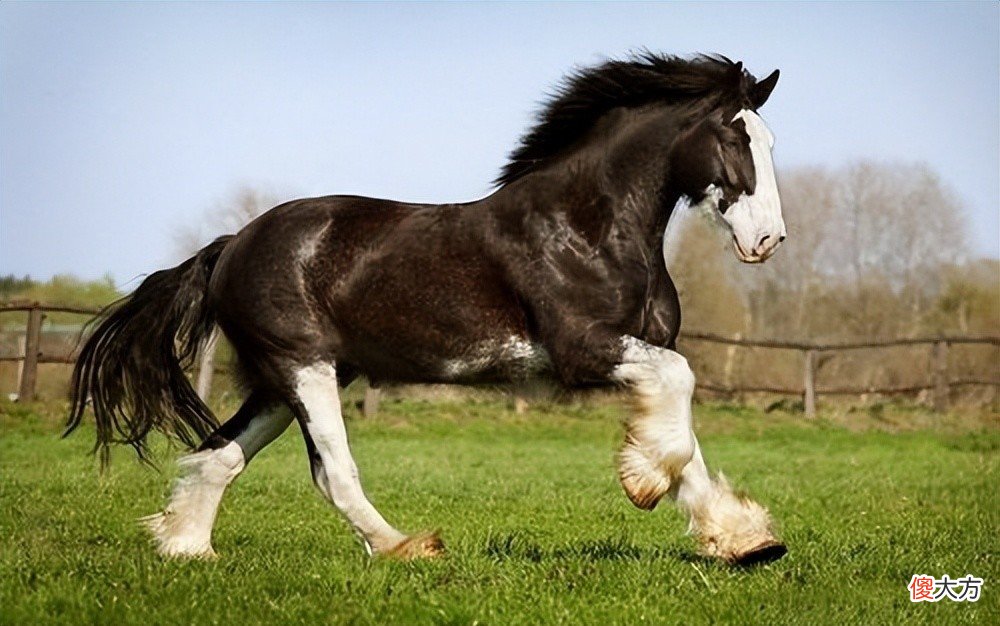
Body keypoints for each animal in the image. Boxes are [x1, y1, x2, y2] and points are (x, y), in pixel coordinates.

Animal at [67, 53, 787, 566]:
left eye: (769, 142)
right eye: (734, 138)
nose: (767, 240)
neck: (588, 226)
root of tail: (229, 247)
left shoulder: (636, 351)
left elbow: (686, 435)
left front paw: (745, 540)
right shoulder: (583, 349)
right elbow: (680, 394)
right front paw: (645, 480)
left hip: (285, 381)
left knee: (219, 455)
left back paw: (187, 549)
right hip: (303, 368)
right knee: (332, 472)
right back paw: (407, 548)